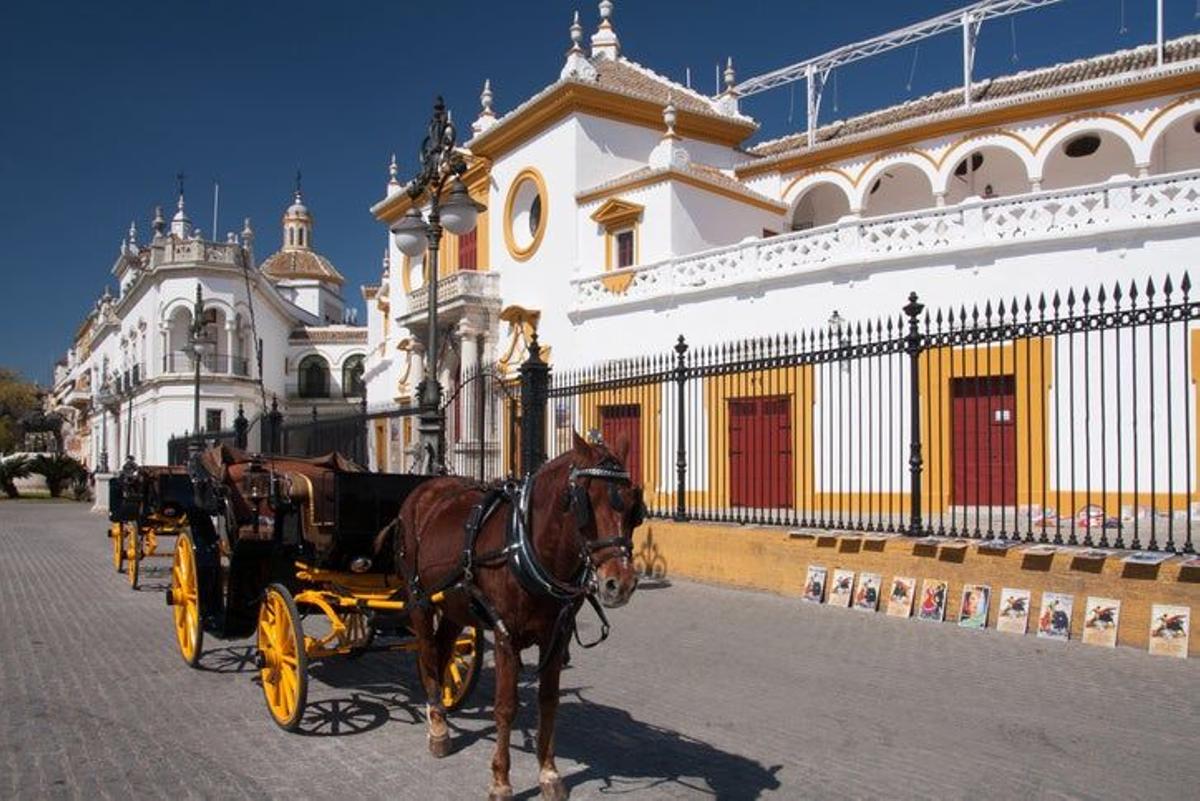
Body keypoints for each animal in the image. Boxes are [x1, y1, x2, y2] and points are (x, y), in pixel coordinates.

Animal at [388, 434, 643, 801]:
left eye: (634, 506)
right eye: (585, 502)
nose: (619, 583)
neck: (527, 547)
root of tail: (427, 487)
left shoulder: (557, 637)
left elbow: (548, 701)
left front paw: (549, 773)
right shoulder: (505, 635)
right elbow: (506, 707)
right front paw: (500, 780)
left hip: (454, 604)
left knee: (441, 649)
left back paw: (440, 712)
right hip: (419, 599)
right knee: (427, 652)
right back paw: (437, 727)